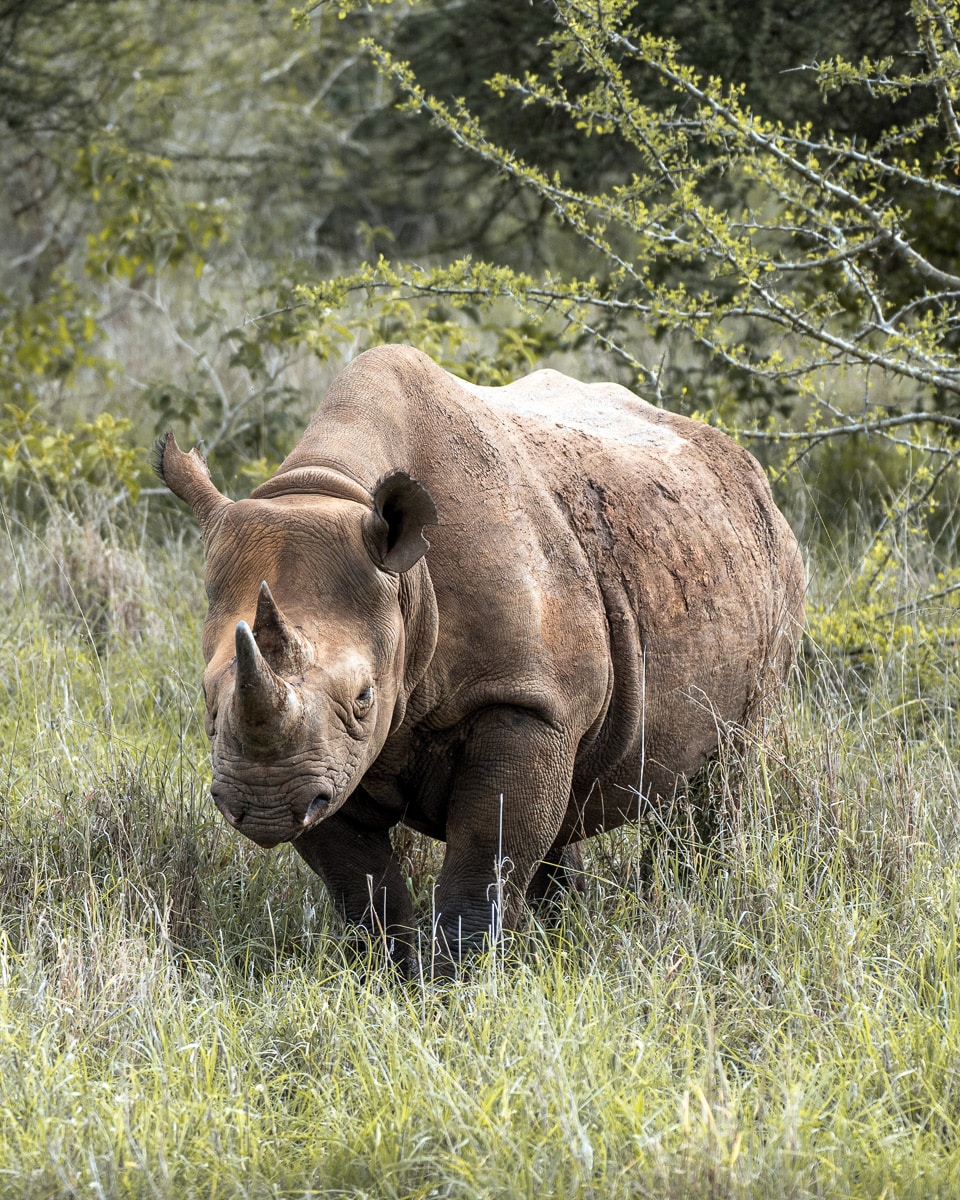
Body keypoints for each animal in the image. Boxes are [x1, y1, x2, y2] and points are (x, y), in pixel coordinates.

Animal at [156, 344, 804, 968]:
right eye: (207, 698)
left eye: (364, 697)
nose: (263, 806)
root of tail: (745, 465)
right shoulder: (323, 762)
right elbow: (359, 879)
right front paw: (388, 971)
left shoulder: (525, 701)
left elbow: (484, 851)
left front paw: (458, 978)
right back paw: (559, 928)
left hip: (774, 562)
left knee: (726, 766)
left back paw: (694, 900)